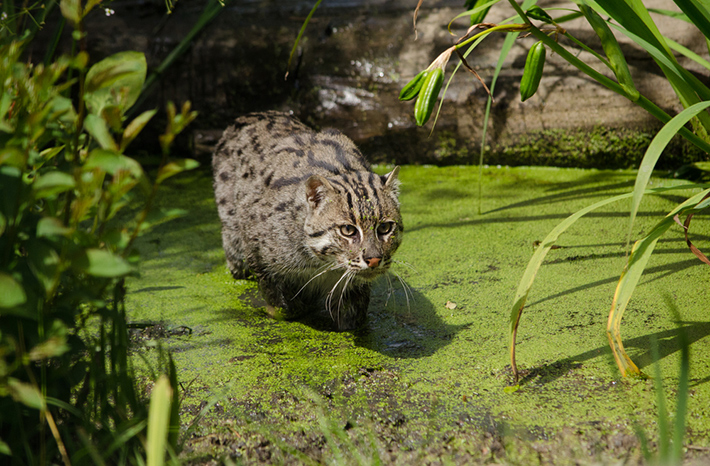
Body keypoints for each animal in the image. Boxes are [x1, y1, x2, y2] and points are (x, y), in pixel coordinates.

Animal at [211, 112, 404, 332]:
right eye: (348, 230)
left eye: (385, 227)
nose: (373, 260)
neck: (324, 264)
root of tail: (248, 116)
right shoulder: (258, 256)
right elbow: (281, 305)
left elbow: (353, 316)